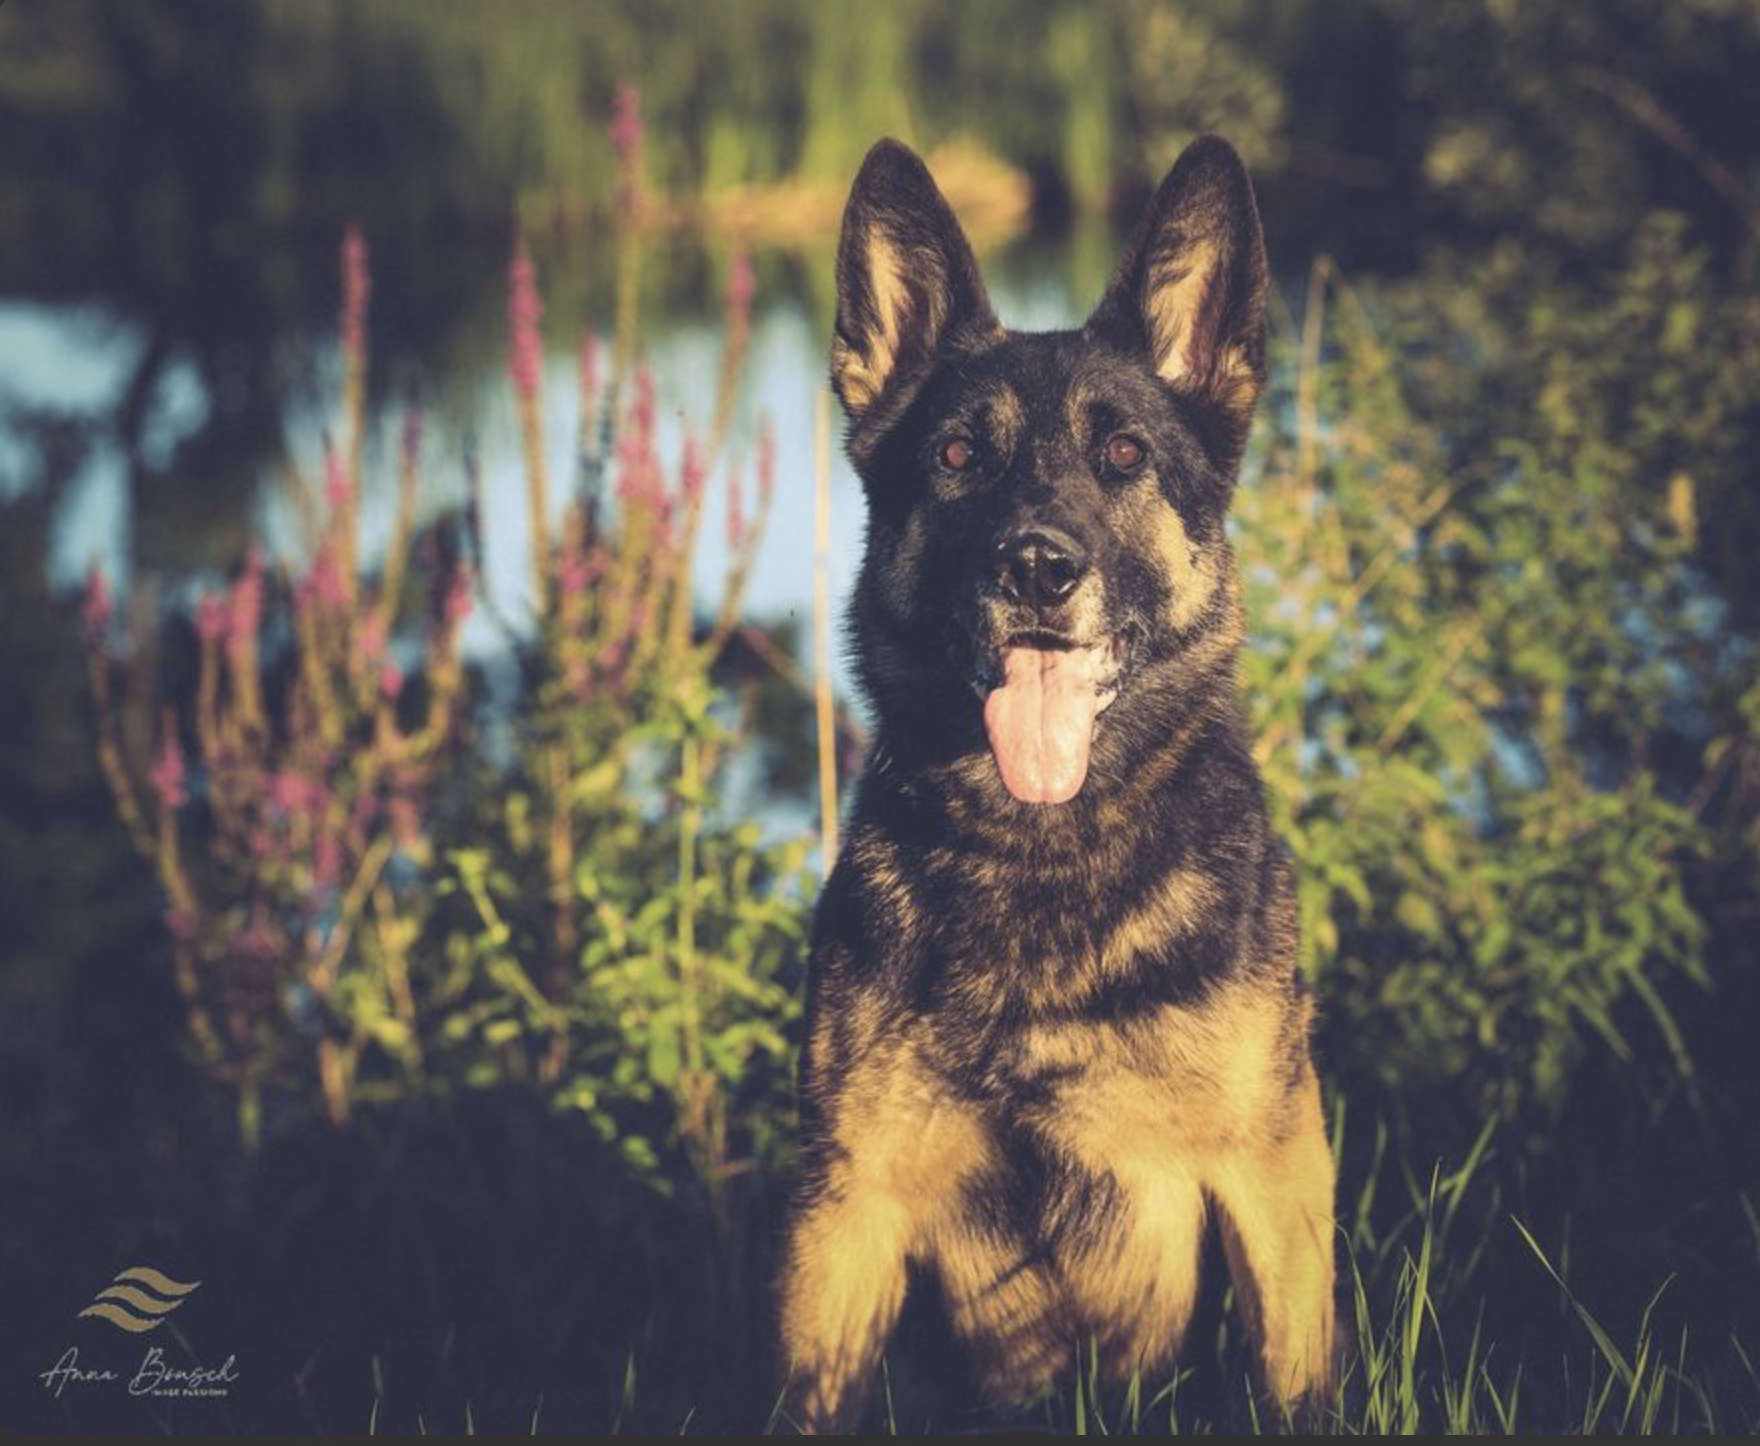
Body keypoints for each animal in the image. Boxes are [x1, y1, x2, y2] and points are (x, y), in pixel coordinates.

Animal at [777, 134, 1338, 1432]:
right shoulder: (842, 1209)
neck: (1043, 859)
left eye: (1122, 455)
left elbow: (1291, 1378)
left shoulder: (1271, 1175)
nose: (1035, 565)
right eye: (955, 458)